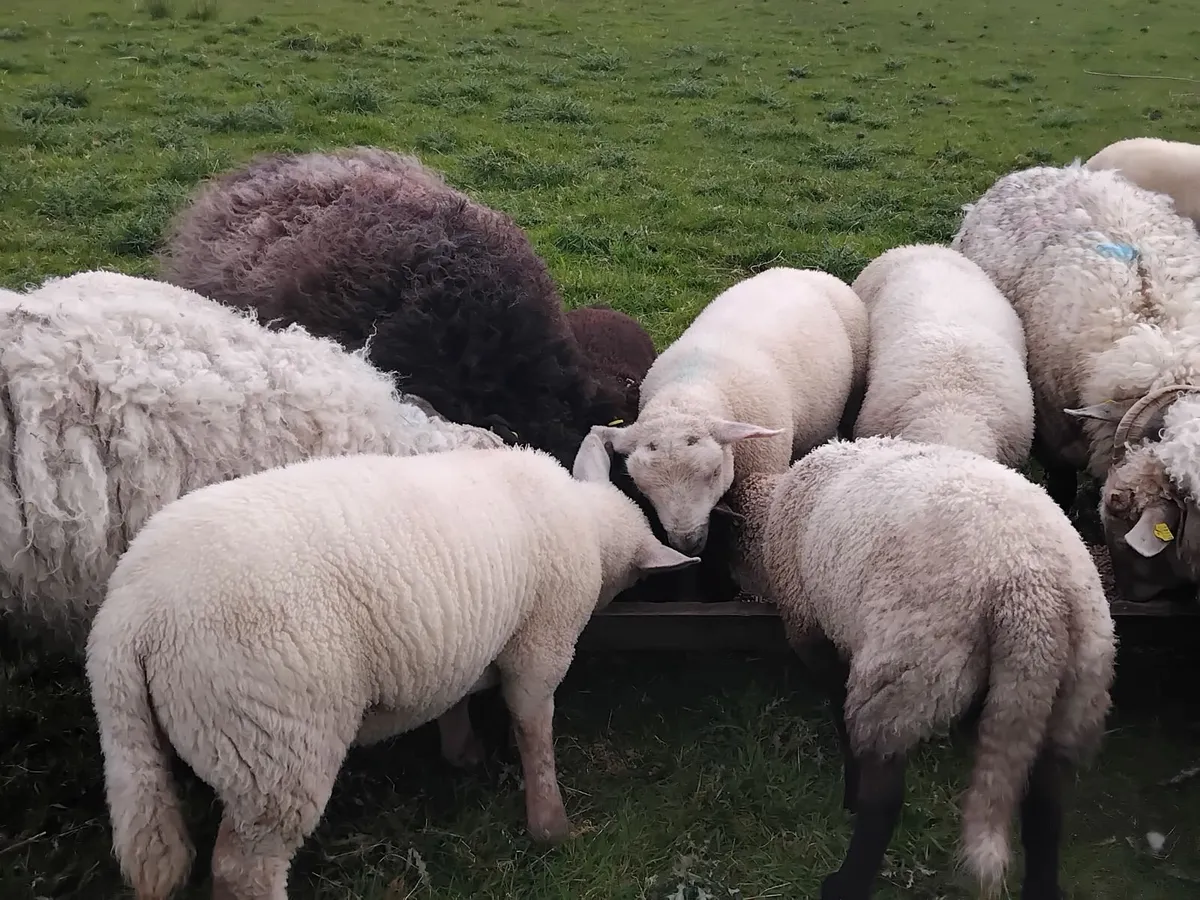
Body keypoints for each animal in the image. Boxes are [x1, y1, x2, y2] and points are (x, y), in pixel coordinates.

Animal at [85, 439, 700, 900]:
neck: (586, 523)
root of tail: (131, 616)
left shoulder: (461, 638)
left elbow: (457, 698)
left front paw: (463, 752)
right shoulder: (541, 641)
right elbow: (533, 724)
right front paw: (549, 826)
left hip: (163, 746)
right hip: (273, 746)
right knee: (245, 870)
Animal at [724, 436, 1115, 900]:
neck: (771, 515)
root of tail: (1032, 594)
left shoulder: (815, 633)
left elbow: (838, 710)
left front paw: (850, 787)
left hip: (909, 669)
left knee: (886, 795)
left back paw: (846, 880)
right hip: (1073, 686)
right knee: (1046, 805)